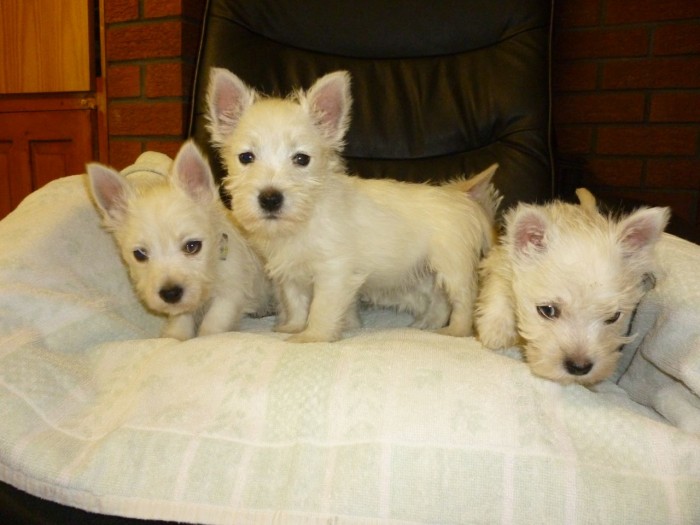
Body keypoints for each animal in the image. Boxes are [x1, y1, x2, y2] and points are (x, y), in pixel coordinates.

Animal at [88, 139, 274, 340]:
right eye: (140, 255)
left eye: (192, 246)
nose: (170, 293)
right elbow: (182, 320)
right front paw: (176, 338)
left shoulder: (231, 293)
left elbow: (213, 325)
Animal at [205, 67, 500, 342]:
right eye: (246, 157)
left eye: (302, 159)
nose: (270, 198)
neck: (305, 219)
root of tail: (463, 199)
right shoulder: (290, 273)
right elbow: (295, 302)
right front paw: (293, 327)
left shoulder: (333, 271)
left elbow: (321, 308)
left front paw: (312, 336)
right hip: (428, 272)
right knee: (440, 300)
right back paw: (427, 324)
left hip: (453, 267)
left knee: (464, 300)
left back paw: (456, 331)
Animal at [476, 188, 668, 384]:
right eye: (547, 310)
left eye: (614, 317)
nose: (579, 367)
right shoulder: (500, 260)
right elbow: (499, 285)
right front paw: (495, 330)